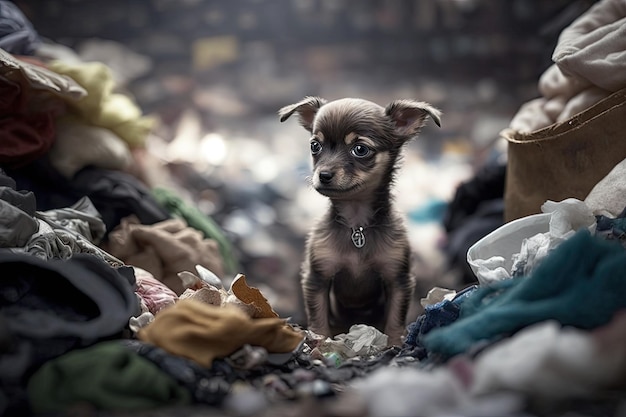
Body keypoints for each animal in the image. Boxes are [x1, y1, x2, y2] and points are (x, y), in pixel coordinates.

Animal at [278, 96, 438, 342]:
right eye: (315, 146)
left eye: (360, 149)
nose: (323, 175)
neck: (357, 226)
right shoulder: (317, 277)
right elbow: (318, 318)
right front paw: (320, 342)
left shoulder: (398, 279)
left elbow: (395, 319)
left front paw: (394, 344)